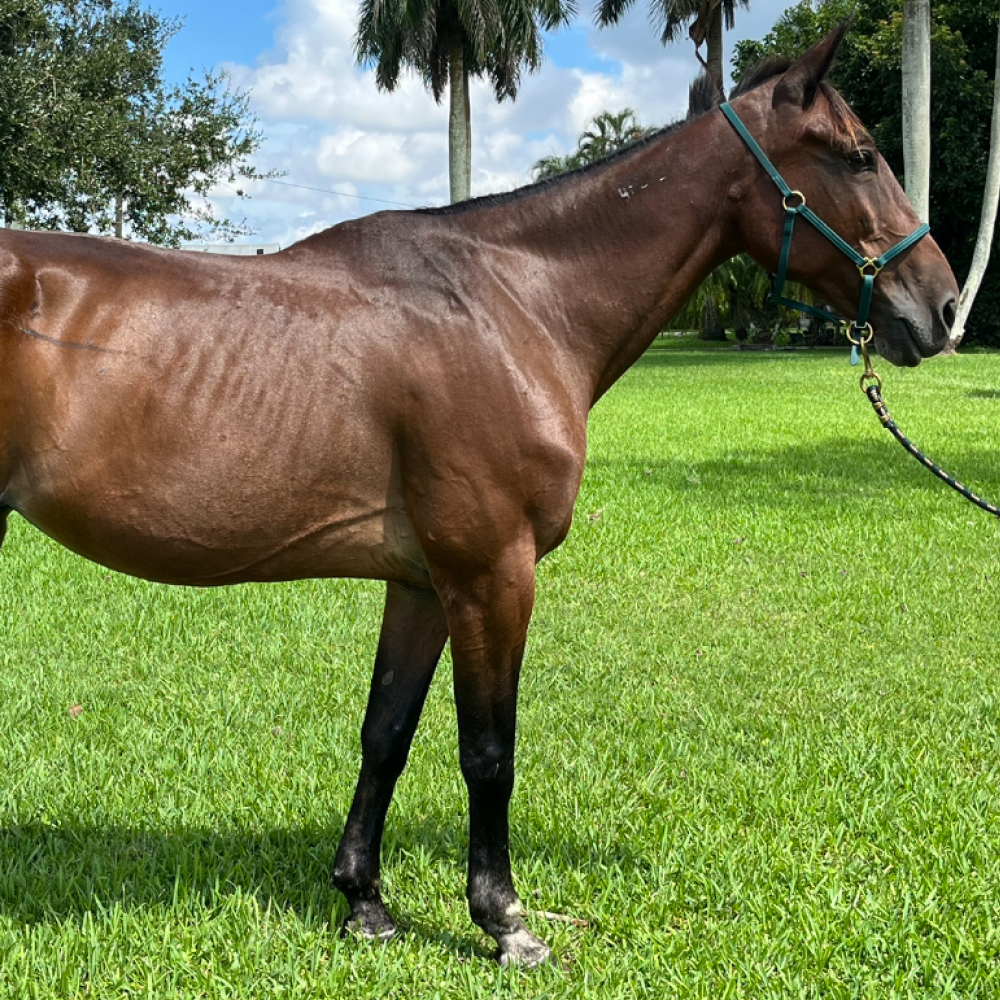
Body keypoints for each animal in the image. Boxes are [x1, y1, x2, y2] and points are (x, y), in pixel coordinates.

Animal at [0, 25, 960, 960]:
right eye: (860, 155)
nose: (945, 308)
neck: (513, 304)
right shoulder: (492, 572)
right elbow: (488, 751)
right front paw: (504, 919)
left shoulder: (423, 583)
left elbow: (385, 734)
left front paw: (364, 902)